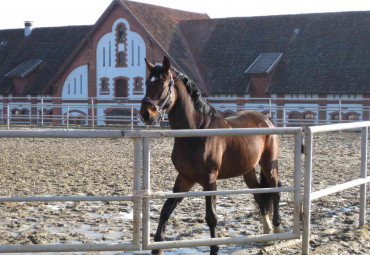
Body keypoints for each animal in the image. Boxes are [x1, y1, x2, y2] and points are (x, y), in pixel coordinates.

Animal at [140, 56, 282, 255]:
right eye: (146, 83)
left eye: (163, 83)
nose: (145, 113)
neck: (196, 131)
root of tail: (266, 119)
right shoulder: (185, 177)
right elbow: (166, 208)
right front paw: (157, 244)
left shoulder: (209, 180)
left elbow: (211, 217)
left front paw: (214, 248)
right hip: (248, 171)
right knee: (260, 196)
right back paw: (266, 232)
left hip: (269, 164)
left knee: (276, 189)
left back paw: (276, 228)